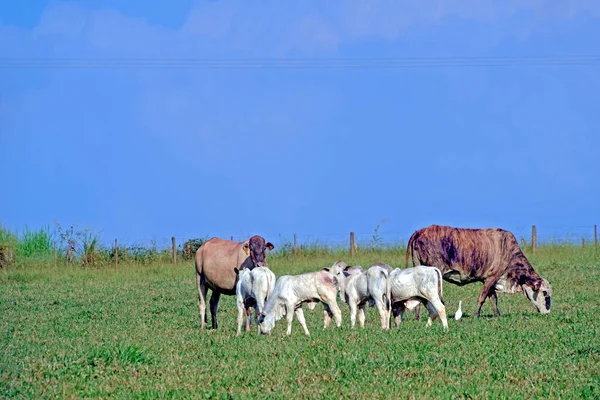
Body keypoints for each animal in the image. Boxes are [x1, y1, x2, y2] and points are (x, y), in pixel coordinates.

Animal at [404, 225, 552, 318]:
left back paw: (417, 317)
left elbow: (493, 298)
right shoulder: (493, 276)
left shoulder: (489, 279)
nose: (548, 313)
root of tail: (420, 231)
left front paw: (497, 315)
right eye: (545, 294)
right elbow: (482, 297)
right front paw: (476, 315)